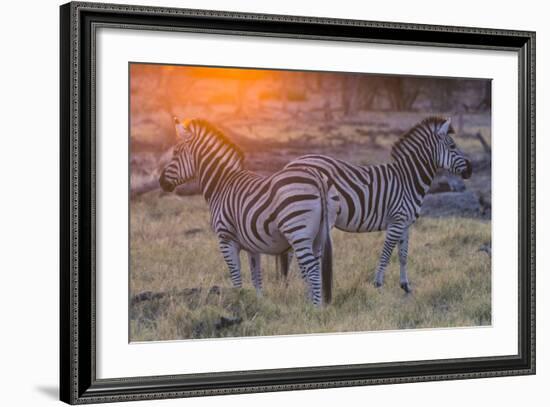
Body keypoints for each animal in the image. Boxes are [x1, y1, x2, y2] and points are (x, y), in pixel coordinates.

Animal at [160, 118, 340, 306]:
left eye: (175, 153)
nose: (161, 182)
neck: (222, 184)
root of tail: (317, 177)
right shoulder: (253, 246)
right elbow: (256, 278)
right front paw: (259, 303)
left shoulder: (226, 239)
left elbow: (236, 277)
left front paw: (239, 301)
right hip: (319, 235)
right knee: (316, 268)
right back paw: (310, 306)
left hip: (298, 232)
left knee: (312, 271)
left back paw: (315, 308)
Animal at [284, 117, 474, 294]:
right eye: (452, 146)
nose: (471, 170)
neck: (408, 180)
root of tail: (291, 164)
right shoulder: (396, 222)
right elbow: (386, 254)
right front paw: (378, 285)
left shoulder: (405, 224)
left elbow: (403, 255)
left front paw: (405, 286)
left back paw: (287, 284)